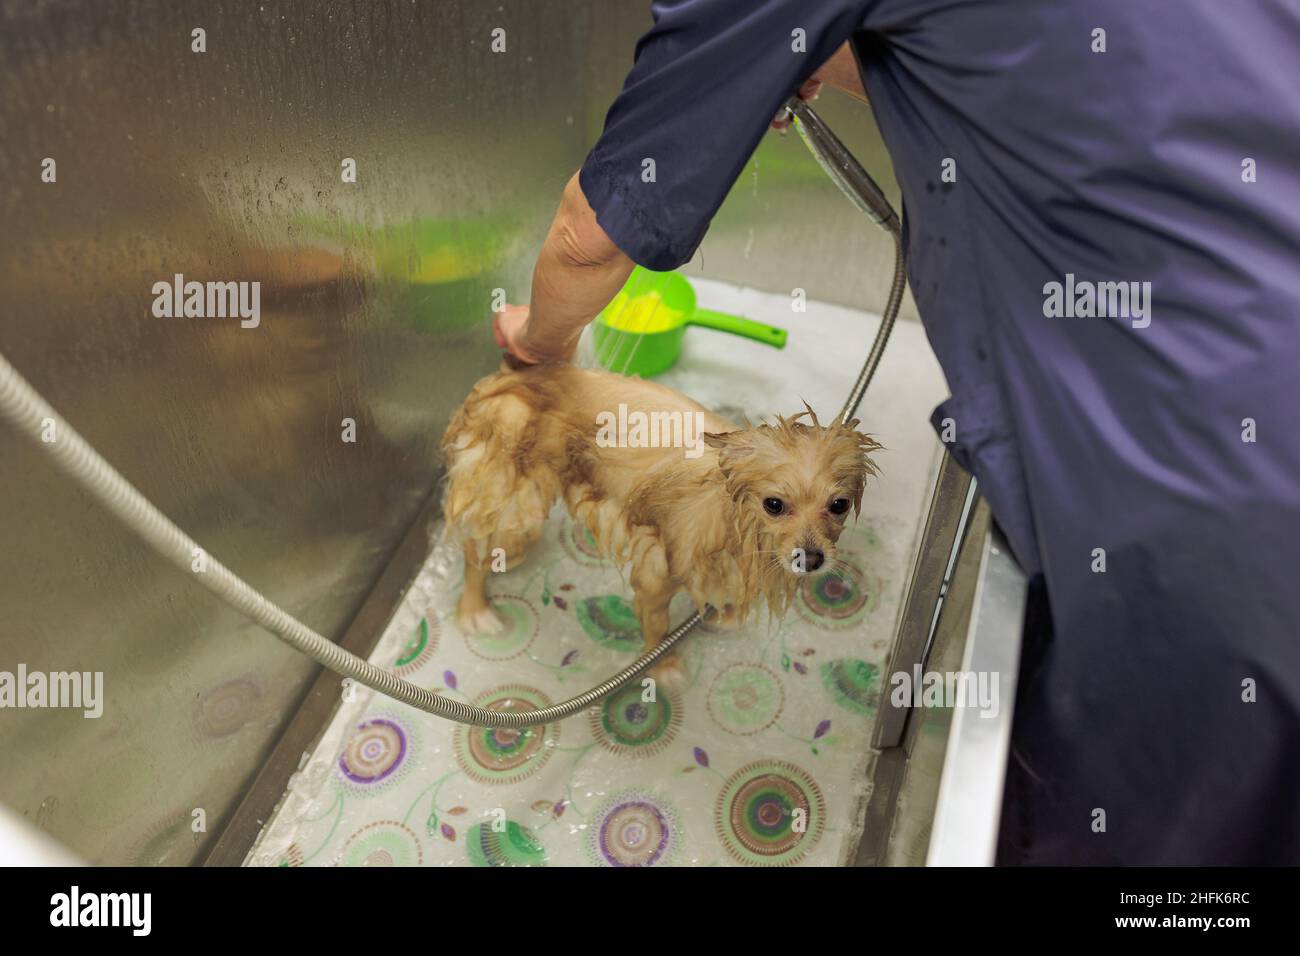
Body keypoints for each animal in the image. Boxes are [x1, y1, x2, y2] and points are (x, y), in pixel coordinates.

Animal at [441, 361, 878, 686]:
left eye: (838, 505)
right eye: (774, 504)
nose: (811, 559)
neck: (733, 513)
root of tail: (507, 378)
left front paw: (726, 618)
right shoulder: (659, 568)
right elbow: (657, 623)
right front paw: (664, 668)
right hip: (512, 499)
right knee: (477, 552)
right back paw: (475, 609)